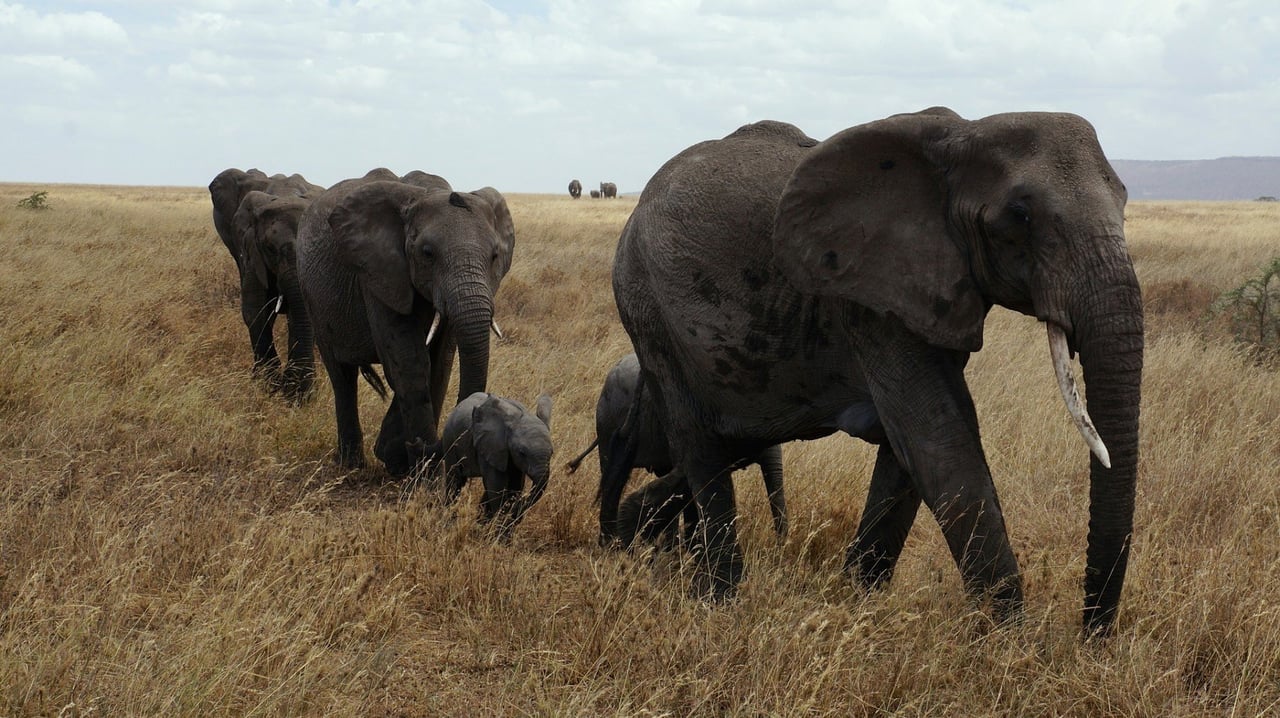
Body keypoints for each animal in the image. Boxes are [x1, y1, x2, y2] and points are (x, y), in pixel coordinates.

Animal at [296, 167, 517, 476]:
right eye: (427, 253)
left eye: (495, 256)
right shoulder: (378, 273)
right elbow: (409, 362)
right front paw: (421, 472)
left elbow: (440, 363)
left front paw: (398, 459)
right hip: (311, 296)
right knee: (342, 376)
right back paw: (351, 466)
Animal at [432, 391, 552, 537]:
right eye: (522, 453)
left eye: (552, 453)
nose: (519, 510)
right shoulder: (491, 445)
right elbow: (497, 486)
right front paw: (500, 534)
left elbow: (515, 486)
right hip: (450, 440)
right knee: (456, 481)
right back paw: (449, 523)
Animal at [614, 109, 1146, 634]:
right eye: (1020, 214)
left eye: (1125, 202)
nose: (1090, 637)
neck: (966, 132)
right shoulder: (870, 299)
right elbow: (939, 439)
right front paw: (1009, 640)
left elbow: (911, 450)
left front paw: (858, 601)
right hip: (649, 313)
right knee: (701, 447)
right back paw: (720, 601)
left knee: (721, 449)